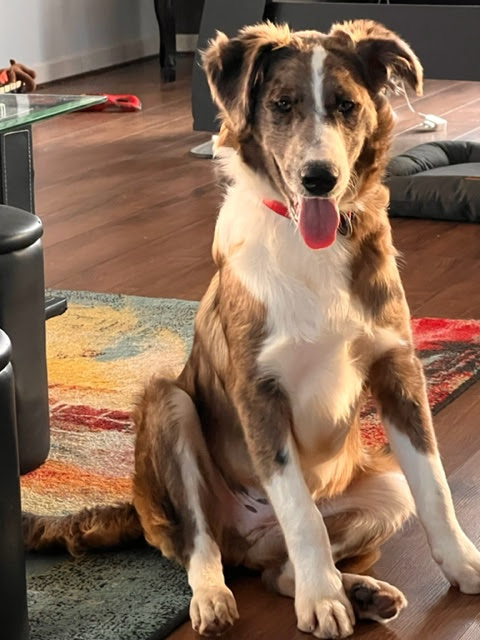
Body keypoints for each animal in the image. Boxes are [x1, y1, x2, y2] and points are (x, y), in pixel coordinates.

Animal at [24, 20, 480, 639]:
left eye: (346, 106)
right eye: (282, 105)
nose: (319, 179)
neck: (311, 245)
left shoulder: (398, 369)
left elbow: (434, 486)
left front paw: (462, 563)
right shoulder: (258, 393)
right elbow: (301, 514)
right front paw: (322, 600)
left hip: (383, 489)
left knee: (274, 569)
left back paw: (359, 591)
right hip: (168, 403)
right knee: (203, 546)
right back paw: (222, 597)